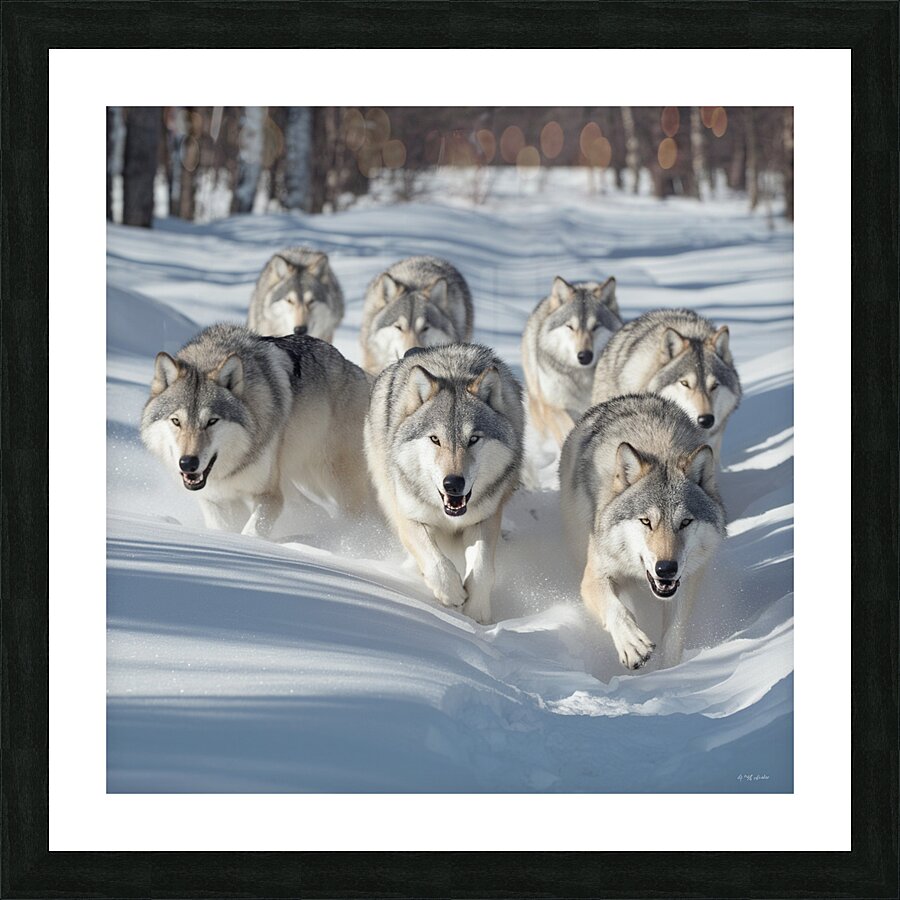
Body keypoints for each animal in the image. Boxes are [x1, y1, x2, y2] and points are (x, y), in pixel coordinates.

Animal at [141, 323, 371, 537]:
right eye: (176, 421)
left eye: (212, 421)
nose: (188, 463)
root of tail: (358, 371)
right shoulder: (216, 500)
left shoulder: (269, 495)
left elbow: (252, 531)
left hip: (333, 481)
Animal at [365, 344, 524, 624]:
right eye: (435, 439)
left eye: (473, 439)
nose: (453, 483)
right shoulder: (409, 517)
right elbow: (436, 562)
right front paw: (452, 594)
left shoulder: (484, 519)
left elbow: (482, 569)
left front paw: (477, 613)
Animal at [560, 394, 726, 669]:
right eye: (646, 521)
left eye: (685, 522)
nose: (666, 568)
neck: (659, 446)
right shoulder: (593, 577)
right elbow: (617, 610)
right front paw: (633, 645)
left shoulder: (686, 580)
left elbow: (675, 633)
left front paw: (669, 672)